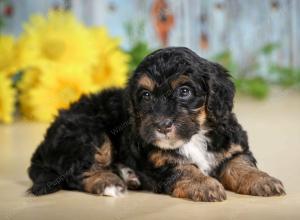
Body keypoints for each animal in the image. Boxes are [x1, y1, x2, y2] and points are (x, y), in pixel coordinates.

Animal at [27, 46, 284, 201]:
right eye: (146, 95)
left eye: (184, 91)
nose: (162, 125)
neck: (194, 136)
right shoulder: (158, 159)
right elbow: (183, 168)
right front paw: (205, 184)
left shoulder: (232, 146)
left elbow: (241, 164)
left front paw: (263, 180)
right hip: (89, 133)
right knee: (79, 171)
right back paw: (110, 182)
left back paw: (127, 175)